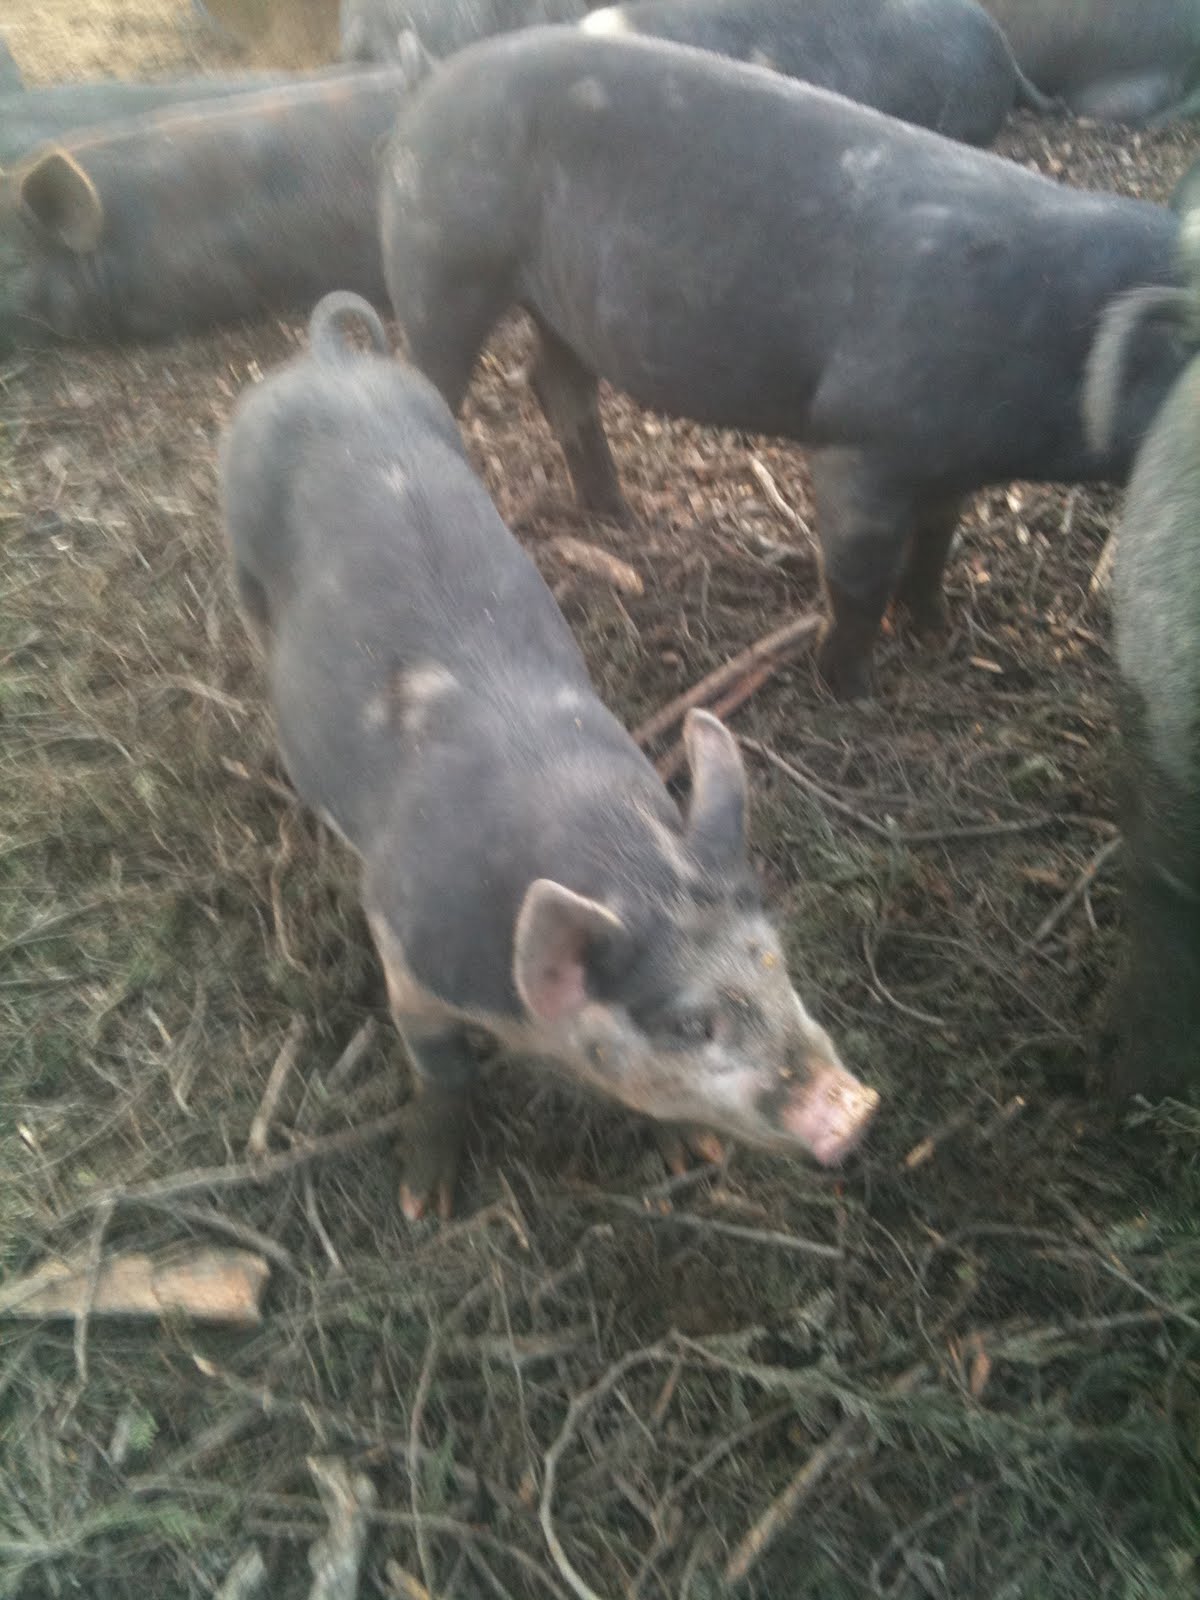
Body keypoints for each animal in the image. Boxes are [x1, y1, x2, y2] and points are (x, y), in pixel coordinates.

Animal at [221, 288, 880, 1218]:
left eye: (774, 962)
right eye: (692, 1025)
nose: (856, 1106)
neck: (620, 866)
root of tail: (326, 363)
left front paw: (696, 1152)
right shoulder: (406, 950)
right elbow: (442, 1071)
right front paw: (424, 1205)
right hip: (240, 548)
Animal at [379, 27, 1184, 699]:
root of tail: (429, 78)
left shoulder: (952, 464)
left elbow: (936, 545)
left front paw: (934, 629)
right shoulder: (863, 442)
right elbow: (858, 578)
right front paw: (849, 690)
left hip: (553, 302)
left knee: (556, 384)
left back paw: (616, 513)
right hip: (440, 266)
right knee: (430, 374)